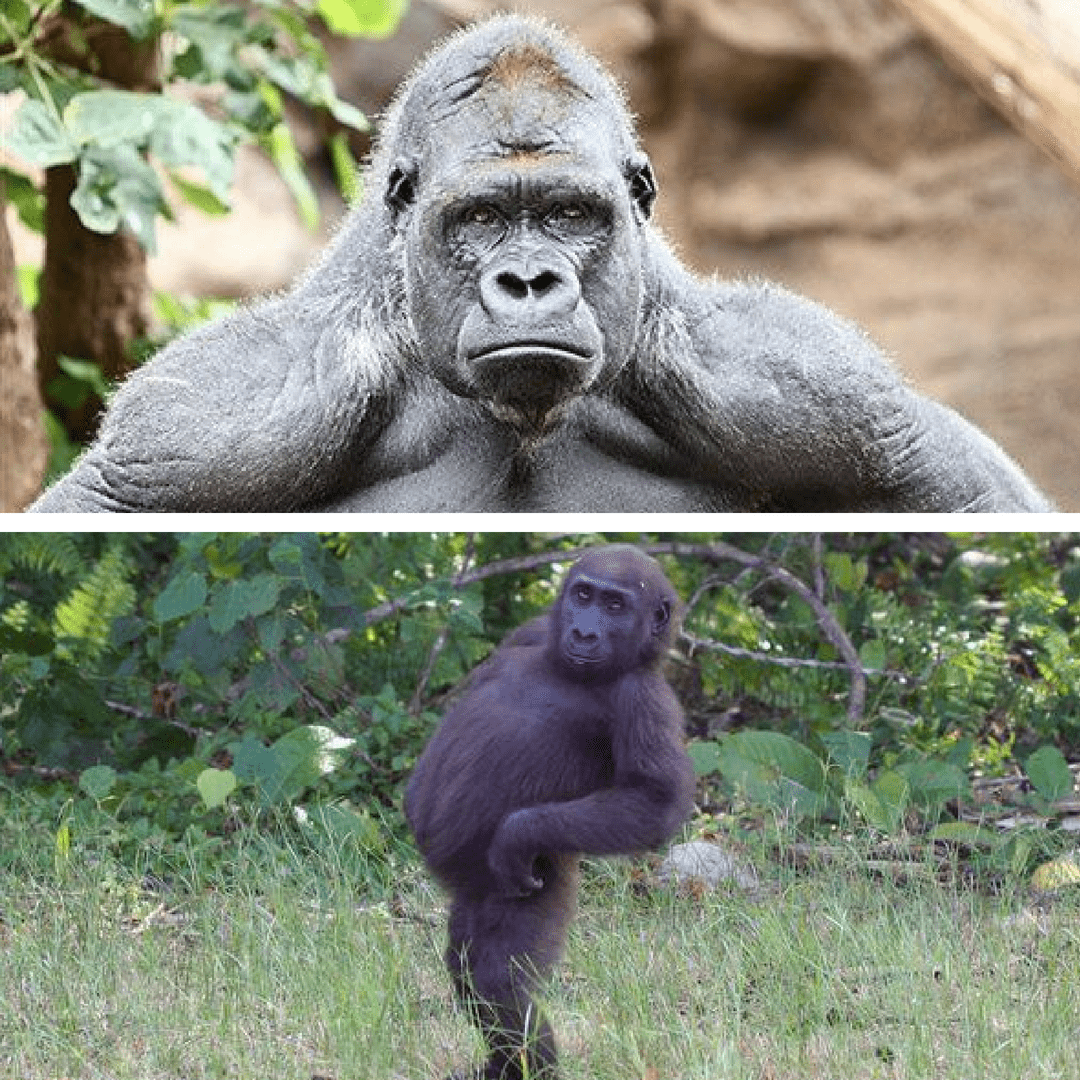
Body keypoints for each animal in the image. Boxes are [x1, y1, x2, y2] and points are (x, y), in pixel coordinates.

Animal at [29, 12, 1049, 509]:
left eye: (567, 215)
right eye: (481, 218)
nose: (529, 282)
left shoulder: (831, 400)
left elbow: (965, 491)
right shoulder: (205, 430)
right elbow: (104, 501)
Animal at [403, 548, 691, 1080]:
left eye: (616, 606)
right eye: (583, 595)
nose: (584, 632)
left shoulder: (643, 695)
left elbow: (654, 799)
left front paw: (517, 834)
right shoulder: (531, 629)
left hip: (538, 882)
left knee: (496, 981)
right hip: (472, 896)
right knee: (466, 967)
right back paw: (498, 1067)